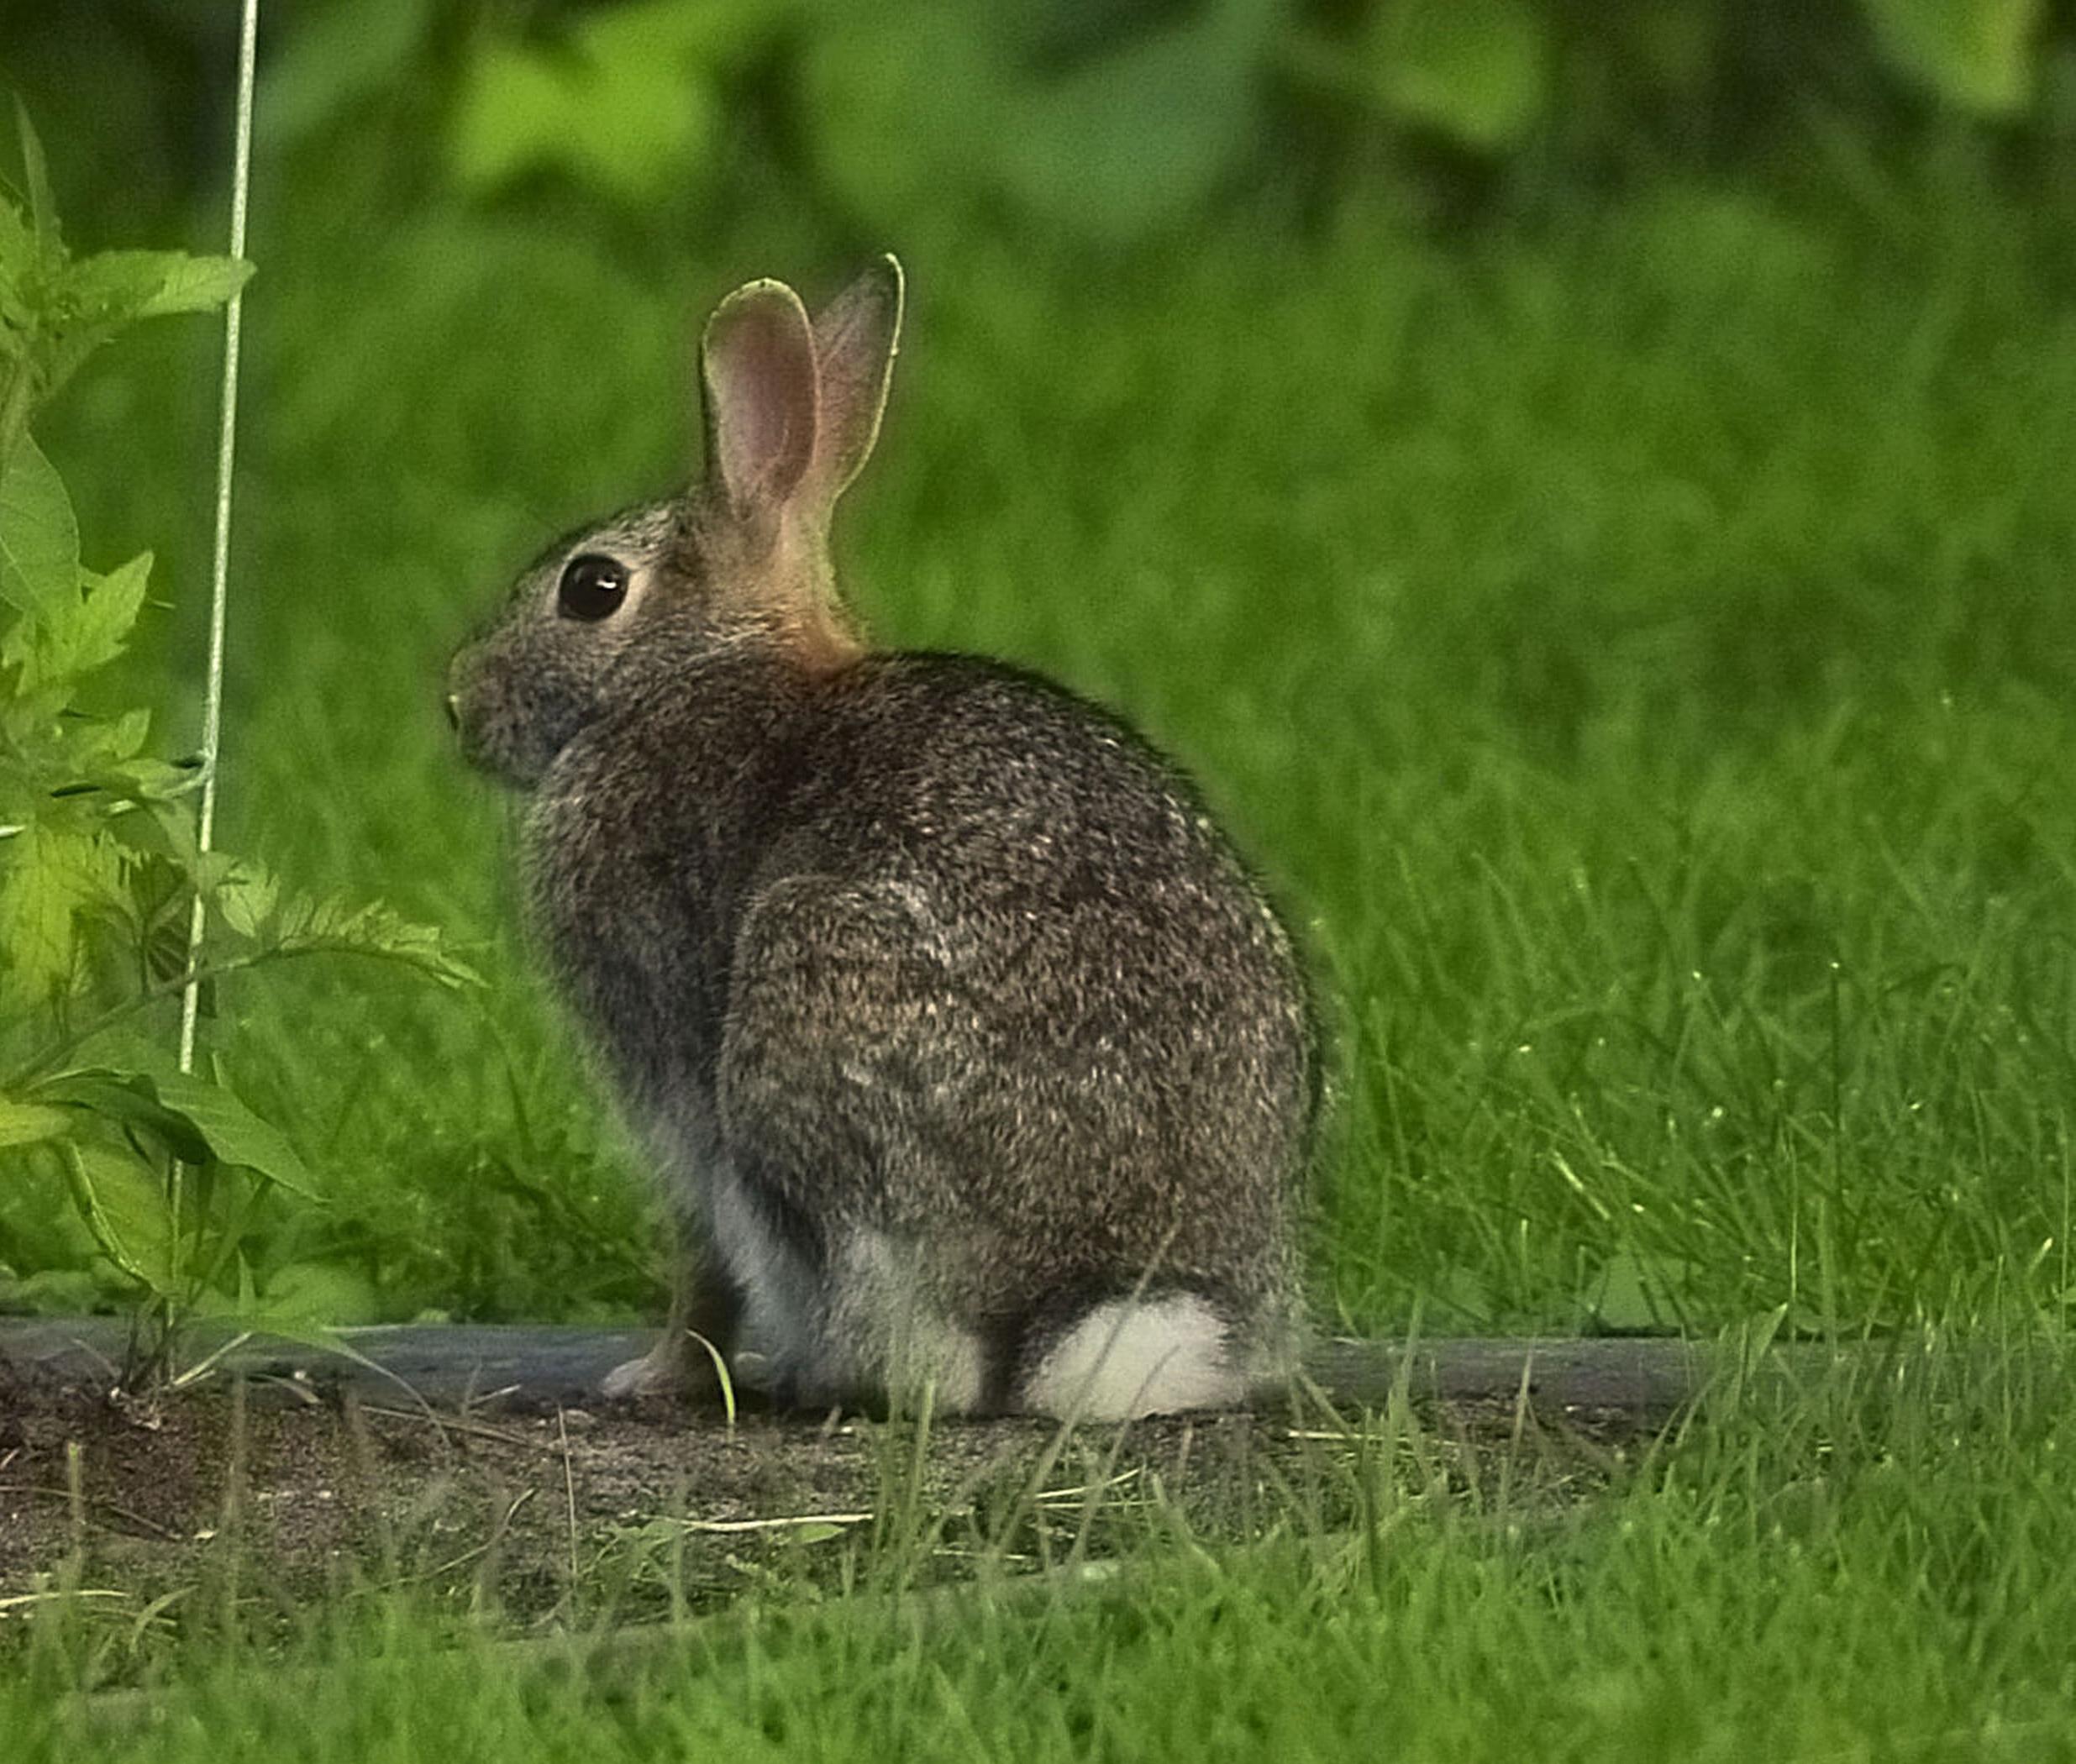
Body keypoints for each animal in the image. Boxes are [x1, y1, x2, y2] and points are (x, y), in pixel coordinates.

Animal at [446, 261, 1320, 1419]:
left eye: (592, 589)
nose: (459, 706)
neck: (699, 670)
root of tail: (1091, 1297)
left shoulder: (667, 1062)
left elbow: (700, 1250)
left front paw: (654, 1374)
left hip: (806, 999)